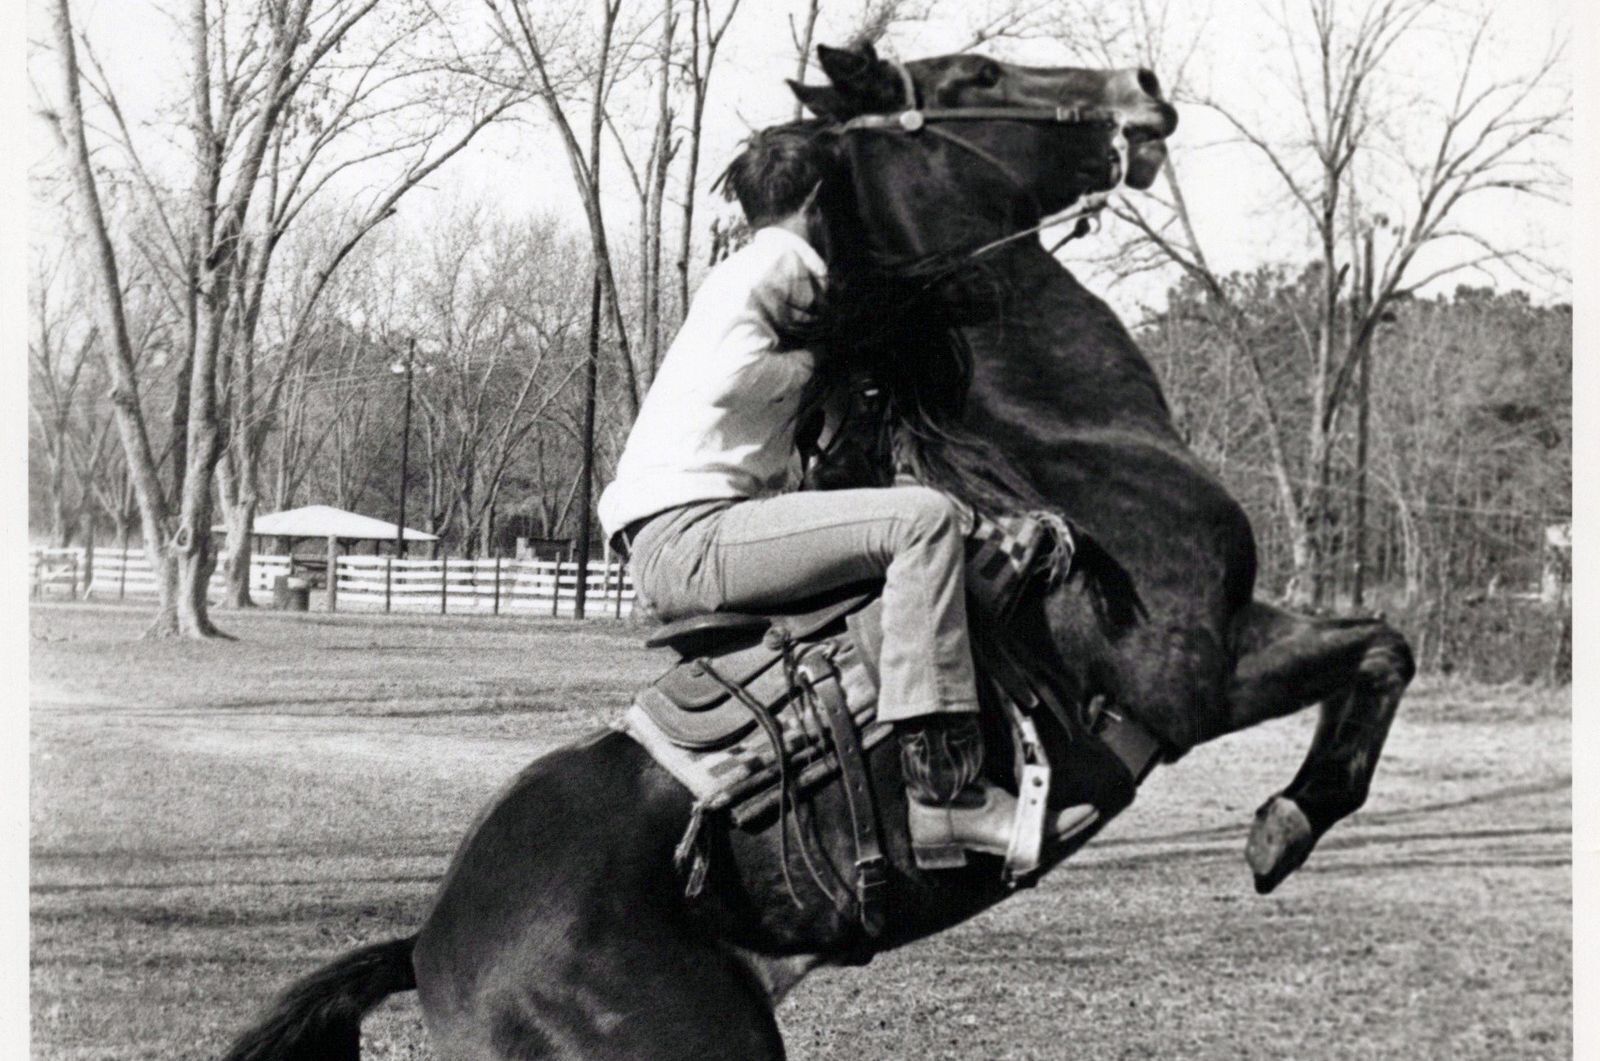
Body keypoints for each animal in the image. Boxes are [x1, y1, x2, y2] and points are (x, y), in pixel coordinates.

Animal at [222, 43, 1414, 1061]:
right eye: (977, 74)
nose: (1143, 86)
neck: (1067, 445)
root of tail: (427, 946)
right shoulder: (1193, 674)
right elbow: (1378, 651)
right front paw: (1283, 823)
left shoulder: (1248, 626)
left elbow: (1381, 646)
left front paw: (1285, 822)